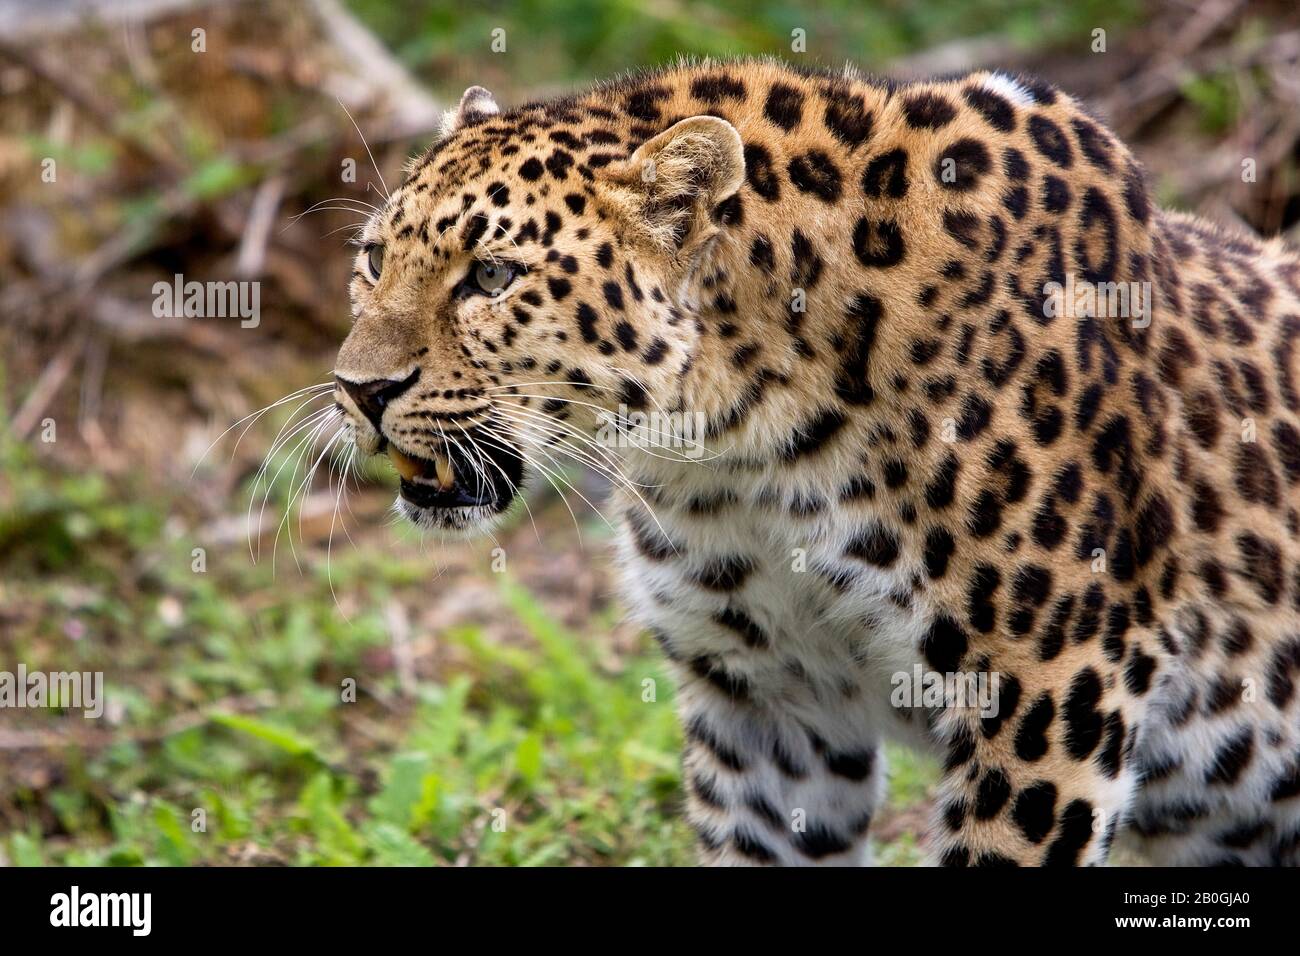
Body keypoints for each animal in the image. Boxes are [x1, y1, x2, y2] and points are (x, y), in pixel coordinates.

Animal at [329, 57, 1300, 866]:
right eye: (373, 259)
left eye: (491, 277)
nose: (358, 388)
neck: (738, 452)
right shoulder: (765, 706)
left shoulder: (1050, 690)